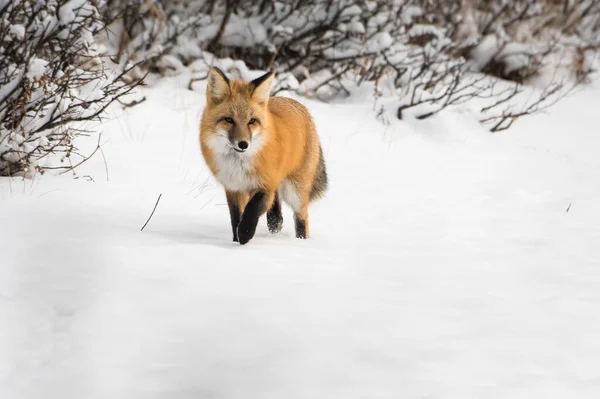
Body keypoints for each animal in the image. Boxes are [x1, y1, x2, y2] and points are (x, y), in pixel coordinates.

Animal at [199, 67, 326, 245]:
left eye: (252, 121)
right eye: (229, 120)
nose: (243, 144)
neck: (239, 166)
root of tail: (300, 106)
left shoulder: (266, 184)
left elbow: (251, 210)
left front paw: (245, 234)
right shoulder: (233, 188)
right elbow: (235, 218)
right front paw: (236, 240)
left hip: (295, 190)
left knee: (301, 217)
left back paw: (301, 241)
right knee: (277, 213)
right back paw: (275, 224)